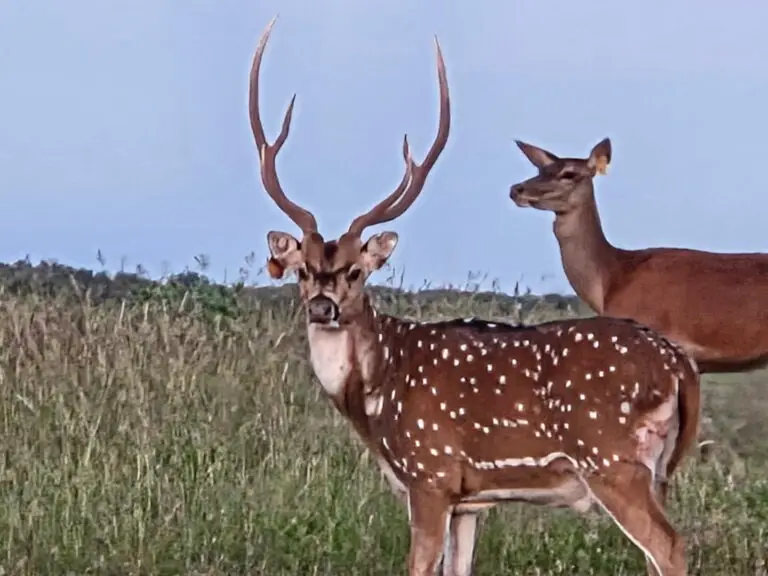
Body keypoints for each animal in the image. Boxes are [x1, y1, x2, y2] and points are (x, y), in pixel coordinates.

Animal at [249, 18, 701, 576]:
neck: (375, 395)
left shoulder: (430, 473)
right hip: (652, 467)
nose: (322, 306)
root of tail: (678, 364)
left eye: (355, 271)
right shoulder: (471, 500)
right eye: (304, 272)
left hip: (610, 456)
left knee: (669, 544)